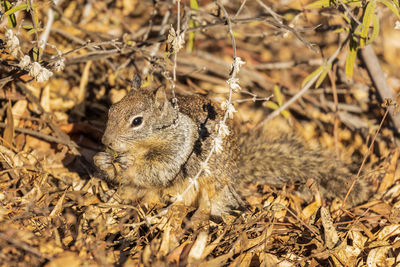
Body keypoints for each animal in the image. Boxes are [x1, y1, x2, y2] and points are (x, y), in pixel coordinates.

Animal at [92, 82, 370, 218]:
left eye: (137, 121)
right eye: (111, 109)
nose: (106, 140)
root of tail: (237, 173)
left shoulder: (178, 150)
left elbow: (157, 170)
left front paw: (127, 164)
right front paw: (102, 160)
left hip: (213, 191)